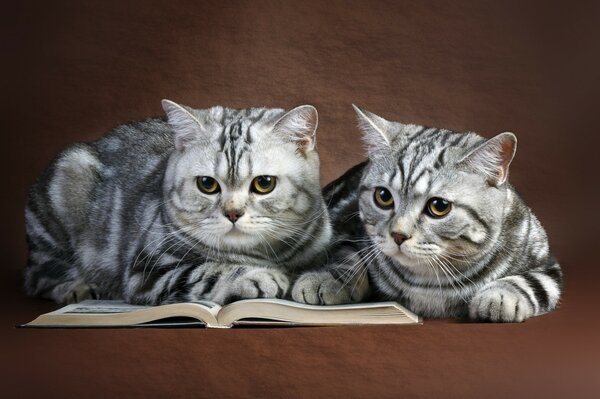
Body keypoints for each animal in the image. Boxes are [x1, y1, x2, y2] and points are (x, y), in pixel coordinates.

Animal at [25, 101, 330, 306]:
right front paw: (258, 277)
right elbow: (206, 270)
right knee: (39, 274)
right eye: (207, 184)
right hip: (69, 175)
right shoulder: (147, 270)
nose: (232, 213)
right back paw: (79, 287)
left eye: (264, 183)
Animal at [292, 104, 560, 324]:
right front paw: (328, 279)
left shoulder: (547, 264)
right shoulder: (346, 230)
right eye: (383, 196)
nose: (398, 235)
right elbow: (345, 256)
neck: (427, 281)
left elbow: (530, 282)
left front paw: (499, 296)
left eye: (439, 206)